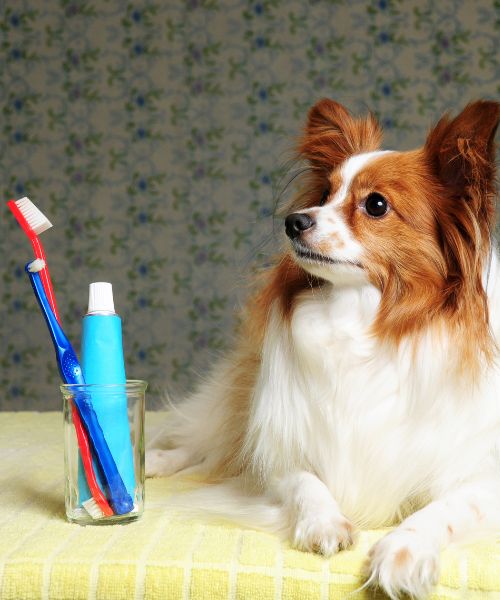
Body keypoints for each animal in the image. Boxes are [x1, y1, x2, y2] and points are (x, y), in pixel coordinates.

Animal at [146, 99, 498, 600]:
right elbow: (304, 481)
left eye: (375, 204)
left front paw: (403, 550)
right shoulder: (278, 455)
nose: (294, 221)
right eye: (325, 193)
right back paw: (152, 461)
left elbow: (445, 509)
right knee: (207, 440)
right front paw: (324, 521)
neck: (361, 321)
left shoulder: (482, 477)